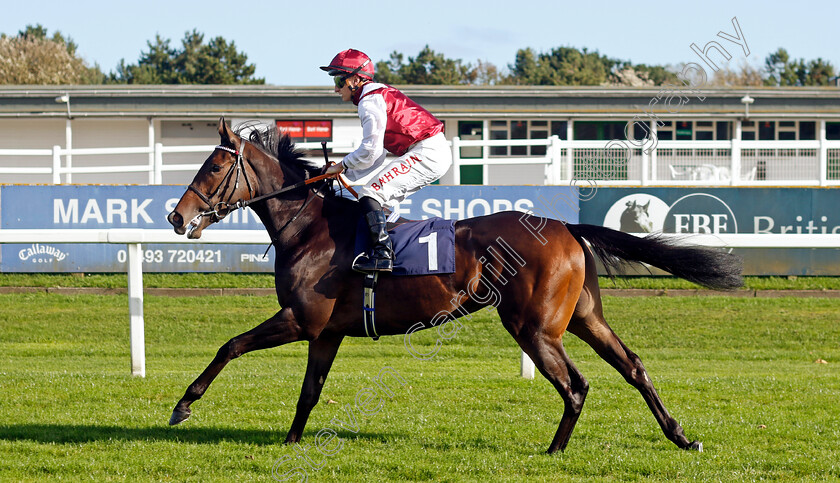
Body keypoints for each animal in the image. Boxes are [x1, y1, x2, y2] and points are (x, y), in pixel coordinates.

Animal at [166, 119, 740, 456]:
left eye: (213, 166)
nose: (176, 216)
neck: (309, 228)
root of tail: (565, 226)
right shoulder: (325, 332)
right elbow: (309, 390)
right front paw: (289, 441)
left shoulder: (301, 320)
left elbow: (229, 346)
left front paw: (183, 405)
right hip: (582, 317)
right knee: (632, 366)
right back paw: (680, 435)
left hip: (534, 327)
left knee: (575, 384)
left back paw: (554, 451)